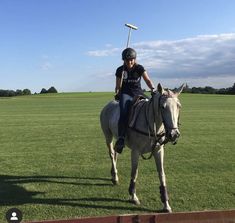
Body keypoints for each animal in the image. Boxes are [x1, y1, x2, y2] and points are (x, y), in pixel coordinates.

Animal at [99, 83, 184, 213]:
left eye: (179, 106)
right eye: (163, 107)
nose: (174, 134)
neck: (153, 126)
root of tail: (108, 104)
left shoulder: (159, 151)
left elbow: (162, 174)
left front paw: (166, 204)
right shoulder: (135, 151)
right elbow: (135, 173)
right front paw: (133, 196)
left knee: (116, 152)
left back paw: (114, 175)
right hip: (107, 135)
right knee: (112, 154)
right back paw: (115, 177)